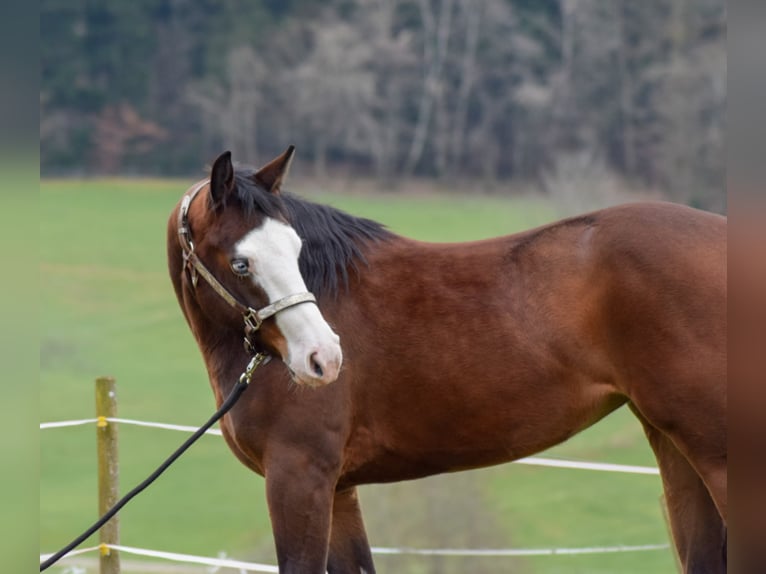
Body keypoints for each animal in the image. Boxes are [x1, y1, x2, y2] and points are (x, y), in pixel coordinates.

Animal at [166, 150, 728, 574]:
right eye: (241, 262)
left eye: (295, 246)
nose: (322, 358)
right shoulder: (339, 489)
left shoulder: (299, 479)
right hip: (674, 448)